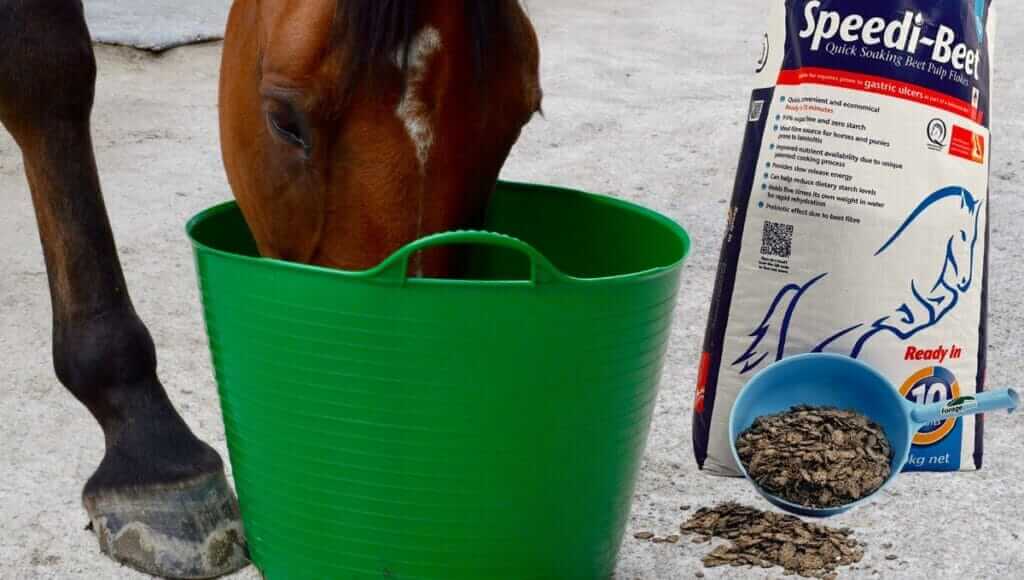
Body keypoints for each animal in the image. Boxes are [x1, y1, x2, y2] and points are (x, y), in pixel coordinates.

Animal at [733, 187, 984, 375]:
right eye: (963, 235)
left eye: (974, 240)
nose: (964, 281)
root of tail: (799, 291)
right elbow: (922, 311)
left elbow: (939, 302)